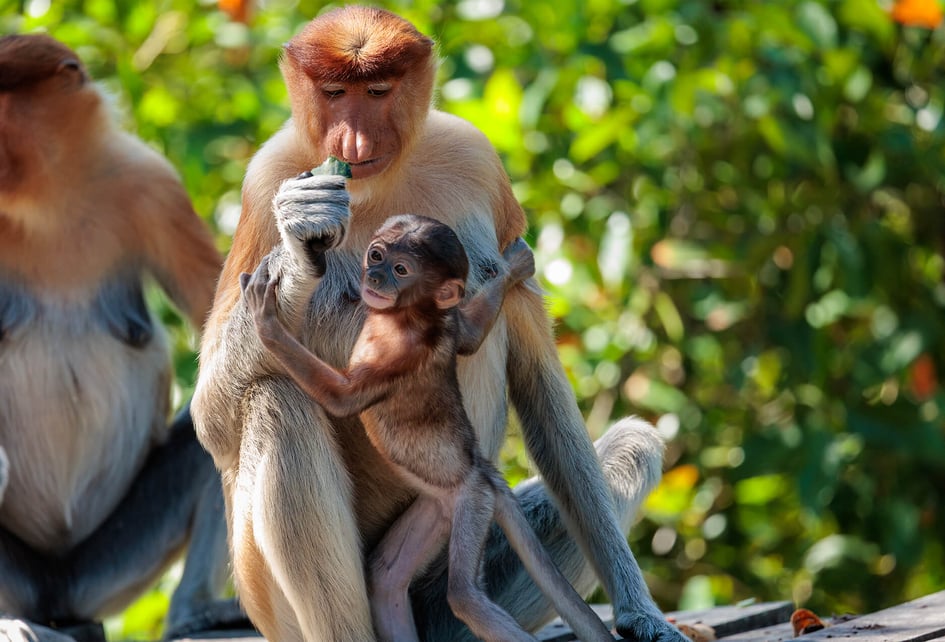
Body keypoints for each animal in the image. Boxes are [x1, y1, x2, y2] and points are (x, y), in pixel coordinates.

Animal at [0, 34, 244, 641]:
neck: (48, 199)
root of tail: (55, 588)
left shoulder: (151, 185)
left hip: (110, 564)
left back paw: (192, 612)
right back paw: (14, 622)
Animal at [241, 213, 614, 642]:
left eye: (401, 269)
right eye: (377, 255)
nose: (375, 277)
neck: (403, 316)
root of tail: (482, 468)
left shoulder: (401, 354)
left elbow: (343, 398)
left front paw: (266, 322)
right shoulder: (447, 325)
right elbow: (469, 336)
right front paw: (512, 268)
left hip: (472, 502)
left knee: (465, 597)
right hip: (437, 509)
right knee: (385, 578)